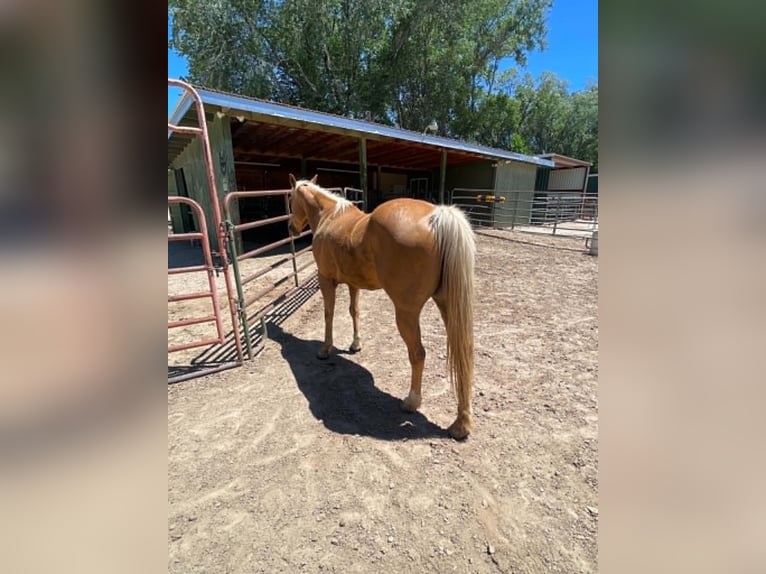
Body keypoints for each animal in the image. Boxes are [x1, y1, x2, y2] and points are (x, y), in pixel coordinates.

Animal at [287, 174, 476, 439]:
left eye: (290, 199)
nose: (291, 228)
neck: (330, 216)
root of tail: (437, 216)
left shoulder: (325, 280)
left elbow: (329, 314)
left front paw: (325, 350)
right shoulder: (353, 283)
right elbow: (354, 312)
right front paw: (355, 344)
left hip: (407, 313)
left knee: (418, 354)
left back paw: (411, 402)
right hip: (448, 306)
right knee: (463, 352)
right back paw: (461, 423)